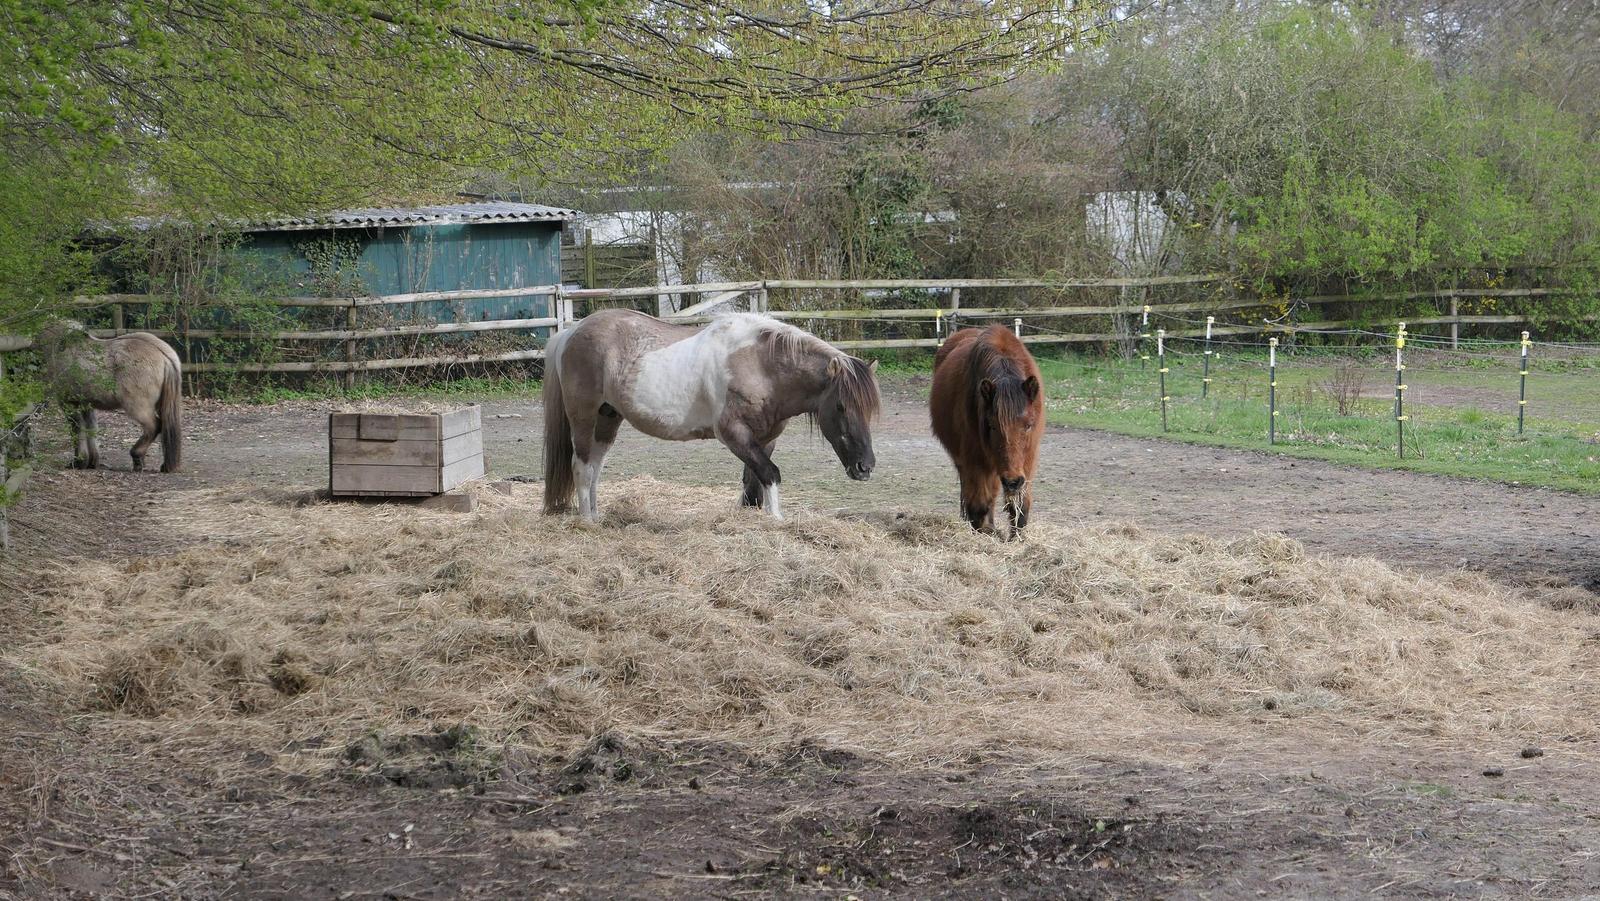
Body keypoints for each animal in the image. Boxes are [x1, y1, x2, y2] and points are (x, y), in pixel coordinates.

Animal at [37, 321, 184, 473]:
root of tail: (163, 355)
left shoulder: (69, 403)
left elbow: (77, 430)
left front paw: (79, 461)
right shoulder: (86, 404)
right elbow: (91, 428)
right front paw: (91, 462)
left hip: (138, 408)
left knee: (154, 426)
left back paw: (137, 457)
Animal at [542, 309, 880, 520]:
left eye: (870, 410)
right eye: (841, 406)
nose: (865, 467)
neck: (761, 365)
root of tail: (571, 332)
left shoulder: (764, 439)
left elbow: (753, 484)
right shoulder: (734, 434)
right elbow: (770, 473)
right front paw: (777, 521)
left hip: (607, 419)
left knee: (595, 468)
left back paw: (597, 515)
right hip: (584, 418)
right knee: (582, 467)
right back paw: (587, 521)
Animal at [929, 324, 1044, 537]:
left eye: (1029, 425)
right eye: (992, 425)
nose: (1012, 481)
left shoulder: (1028, 459)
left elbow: (1019, 506)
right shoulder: (975, 460)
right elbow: (980, 504)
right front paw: (987, 531)